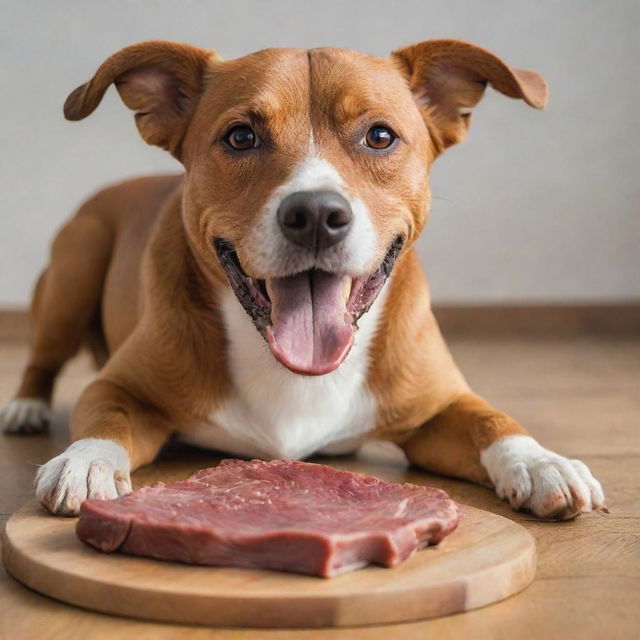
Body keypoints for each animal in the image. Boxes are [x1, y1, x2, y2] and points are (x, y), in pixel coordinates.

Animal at [1, 38, 604, 520]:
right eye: (240, 137)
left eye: (379, 136)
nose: (315, 214)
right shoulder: (121, 386)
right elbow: (106, 417)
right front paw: (84, 461)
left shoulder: (438, 408)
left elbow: (491, 420)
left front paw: (540, 461)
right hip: (75, 266)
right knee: (43, 358)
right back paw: (26, 407)